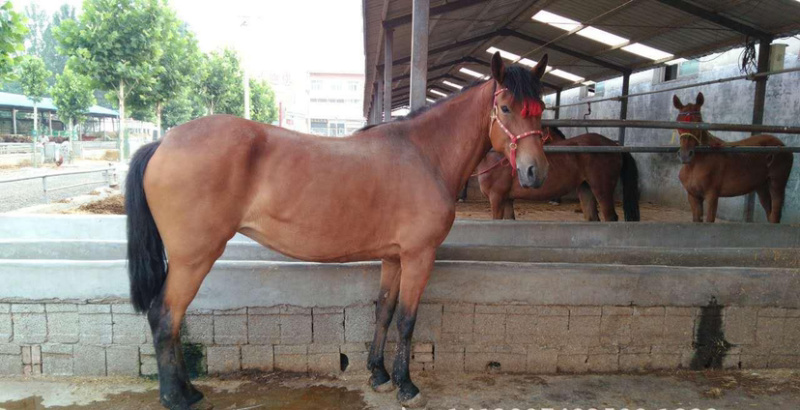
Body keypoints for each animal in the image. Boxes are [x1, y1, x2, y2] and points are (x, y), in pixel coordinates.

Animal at [125, 51, 551, 409]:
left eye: (541, 109)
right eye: (505, 107)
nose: (535, 172)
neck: (423, 154)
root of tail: (163, 141)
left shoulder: (394, 257)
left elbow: (384, 310)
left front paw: (379, 373)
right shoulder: (419, 255)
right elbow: (407, 319)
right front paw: (406, 385)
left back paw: (187, 390)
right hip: (193, 258)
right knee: (166, 316)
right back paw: (178, 396)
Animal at [477, 131, 640, 221]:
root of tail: (614, 145)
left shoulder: (497, 198)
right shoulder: (507, 199)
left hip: (602, 189)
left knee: (610, 218)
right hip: (585, 188)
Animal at [673, 92, 793, 223]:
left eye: (699, 121)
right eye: (678, 122)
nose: (685, 155)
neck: (694, 166)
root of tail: (782, 145)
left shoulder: (712, 196)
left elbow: (709, 220)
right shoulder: (693, 196)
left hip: (777, 184)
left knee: (775, 215)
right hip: (762, 187)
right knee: (770, 214)